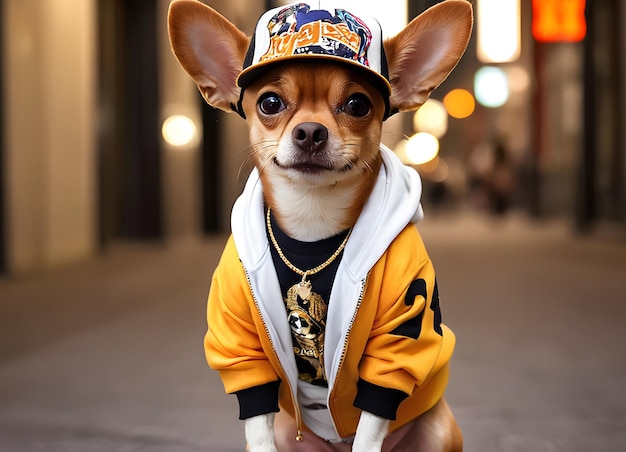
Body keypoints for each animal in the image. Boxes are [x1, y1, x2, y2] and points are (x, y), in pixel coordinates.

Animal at [168, 1, 470, 450]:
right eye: (270, 103)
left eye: (358, 104)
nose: (310, 130)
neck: (313, 226)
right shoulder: (240, 341)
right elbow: (256, 419)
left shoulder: (394, 343)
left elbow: (373, 418)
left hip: (437, 429)